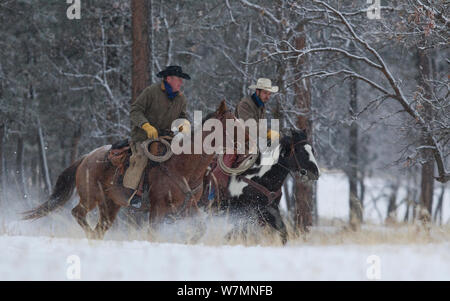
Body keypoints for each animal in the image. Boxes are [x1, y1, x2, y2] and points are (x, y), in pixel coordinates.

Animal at [22, 101, 239, 239]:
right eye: (231, 124)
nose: (244, 141)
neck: (183, 167)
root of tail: (86, 157)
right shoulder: (158, 208)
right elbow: (153, 232)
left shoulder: (188, 207)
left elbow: (200, 229)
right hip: (90, 198)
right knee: (78, 213)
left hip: (110, 204)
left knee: (101, 227)